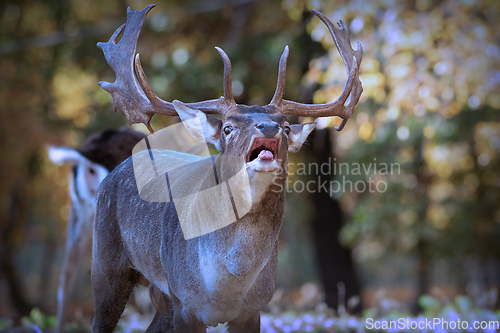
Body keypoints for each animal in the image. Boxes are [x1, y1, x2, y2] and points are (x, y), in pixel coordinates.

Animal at [92, 3, 362, 330]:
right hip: (106, 261)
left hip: (161, 293)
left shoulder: (254, 309)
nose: (268, 126)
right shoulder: (186, 303)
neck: (230, 281)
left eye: (286, 127)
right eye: (228, 128)